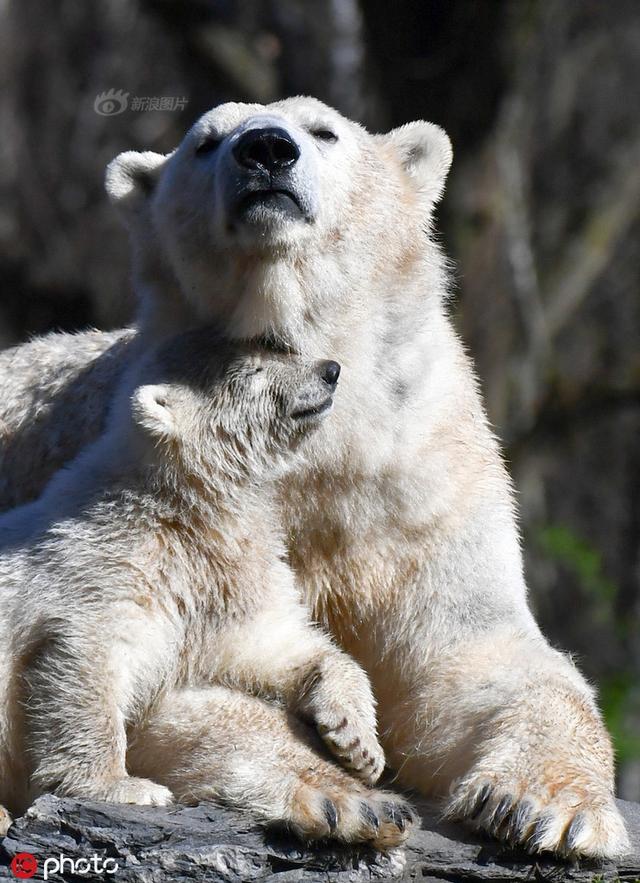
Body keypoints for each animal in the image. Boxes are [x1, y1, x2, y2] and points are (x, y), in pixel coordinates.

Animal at [0, 96, 628, 856]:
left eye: (324, 130)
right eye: (205, 141)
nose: (266, 150)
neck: (321, 460)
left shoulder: (419, 488)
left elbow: (477, 656)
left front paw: (548, 809)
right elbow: (179, 691)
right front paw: (353, 797)